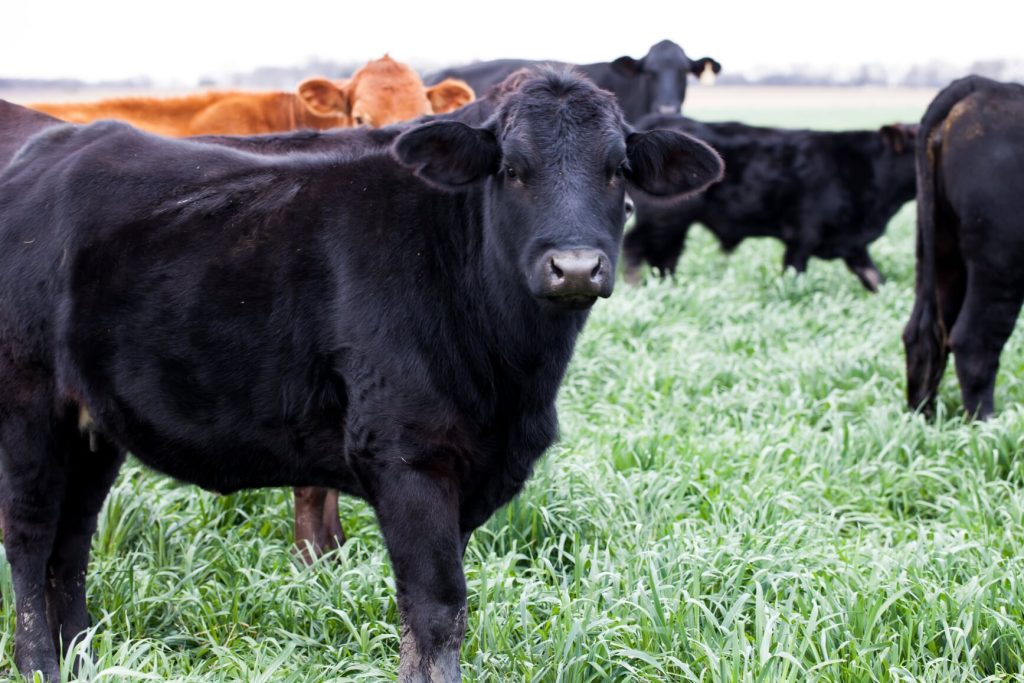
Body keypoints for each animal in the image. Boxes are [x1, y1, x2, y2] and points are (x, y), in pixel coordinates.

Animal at [0, 68, 723, 682]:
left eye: (617, 169)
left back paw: (84, 658)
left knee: (72, 540)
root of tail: (49, 145)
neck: (513, 380)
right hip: (28, 403)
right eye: (513, 168)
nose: (575, 267)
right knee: (31, 537)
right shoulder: (406, 456)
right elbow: (436, 611)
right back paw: (40, 665)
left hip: (92, 425)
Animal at [623, 115, 919, 291]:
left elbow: (877, 280)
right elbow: (794, 276)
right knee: (635, 247)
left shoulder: (855, 245)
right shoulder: (802, 237)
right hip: (662, 221)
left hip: (674, 227)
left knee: (665, 258)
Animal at [903, 75, 1024, 419]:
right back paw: (986, 423)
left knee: (923, 335)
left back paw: (923, 416)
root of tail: (982, 84)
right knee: (973, 340)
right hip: (1001, 259)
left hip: (941, 250)